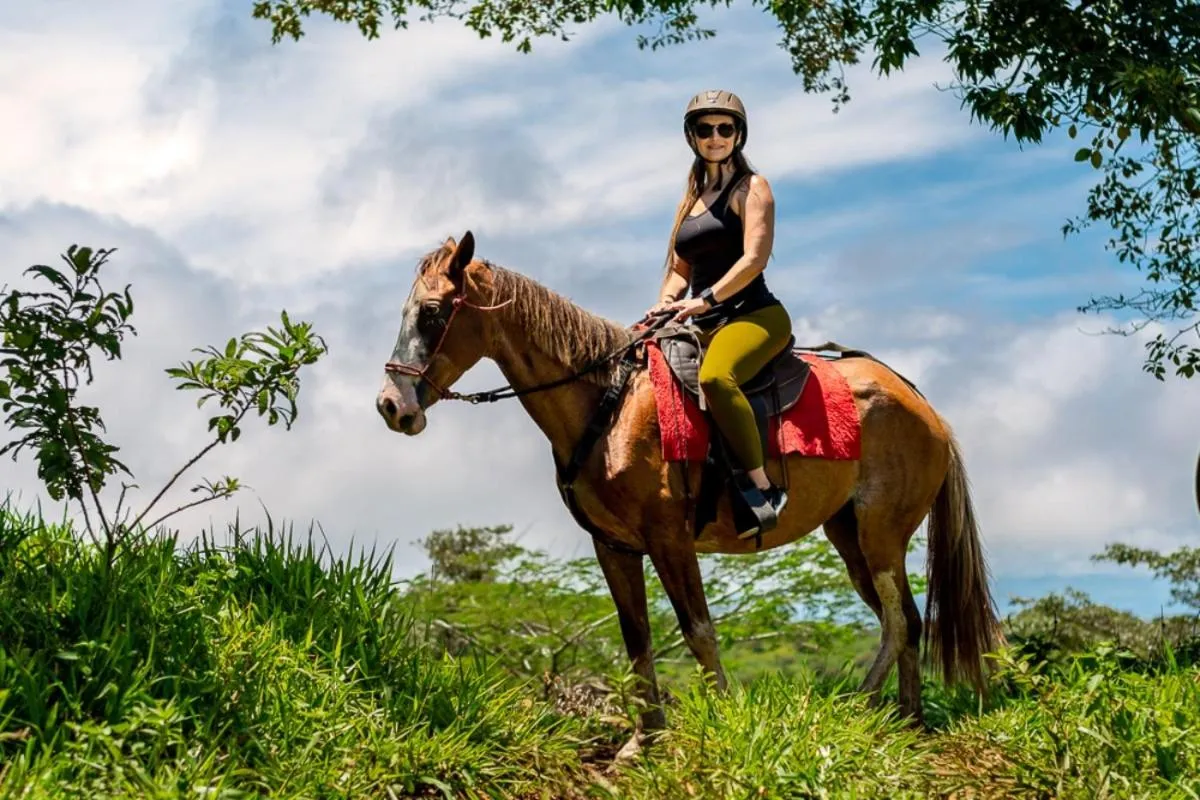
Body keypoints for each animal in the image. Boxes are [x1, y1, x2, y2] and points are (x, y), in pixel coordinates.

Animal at [375, 231, 1004, 758]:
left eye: (432, 313)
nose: (391, 406)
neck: (608, 402)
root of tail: (925, 409)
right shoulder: (614, 547)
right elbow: (636, 638)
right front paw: (642, 741)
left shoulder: (669, 540)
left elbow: (698, 630)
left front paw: (720, 725)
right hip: (849, 535)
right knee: (908, 621)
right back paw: (908, 722)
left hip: (879, 533)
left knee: (897, 621)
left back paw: (865, 709)